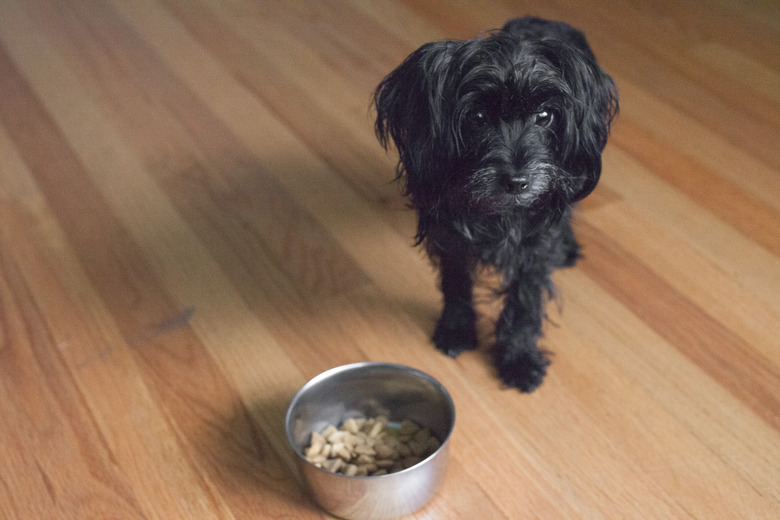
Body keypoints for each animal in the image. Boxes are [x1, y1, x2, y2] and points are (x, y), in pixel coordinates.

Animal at [374, 16, 620, 392]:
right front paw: (456, 330)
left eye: (545, 115)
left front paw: (519, 360)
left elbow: (524, 302)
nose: (517, 181)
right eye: (477, 117)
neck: (499, 211)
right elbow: (456, 282)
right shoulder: (451, 237)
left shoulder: (534, 247)